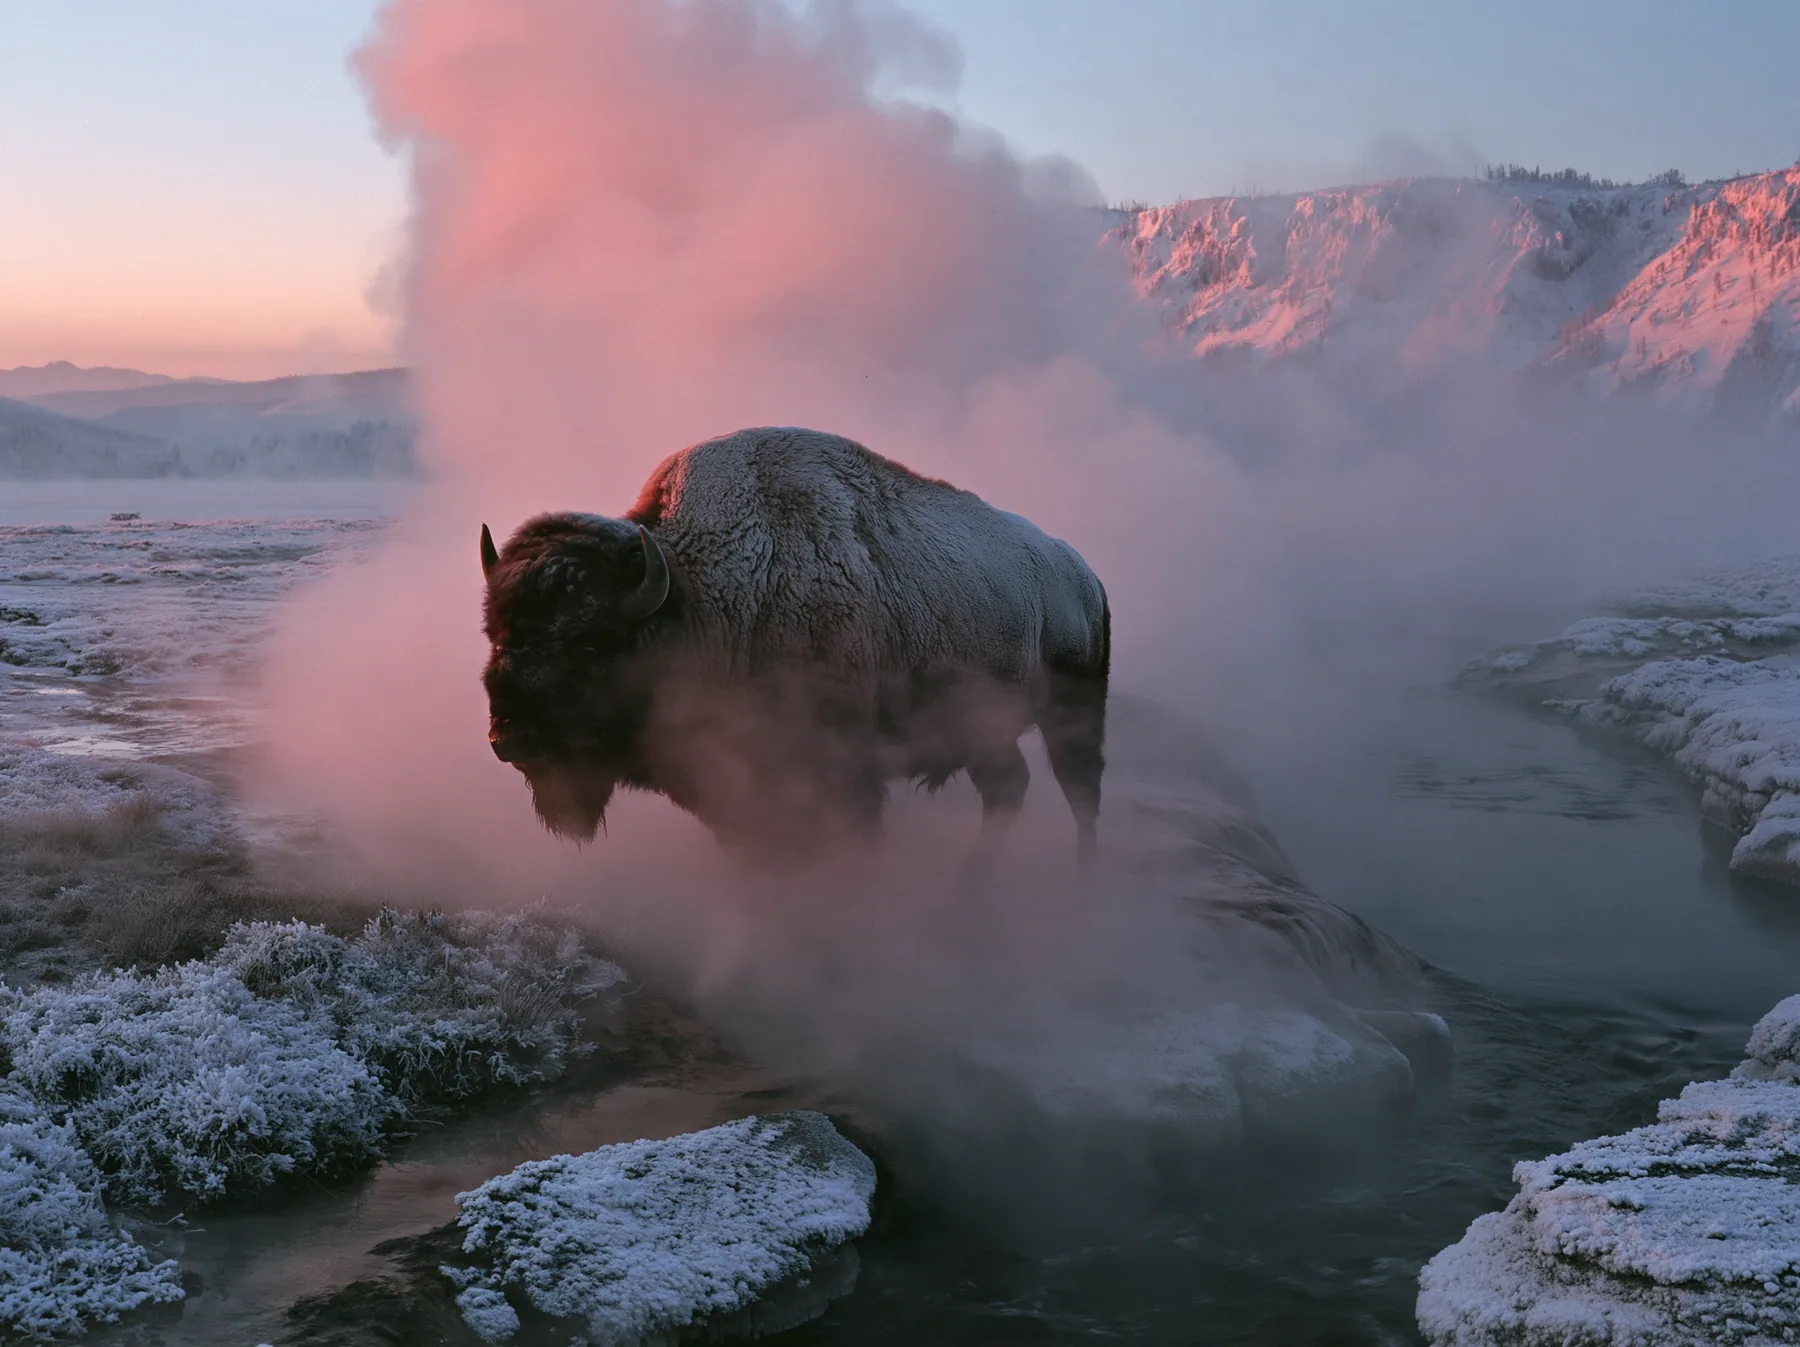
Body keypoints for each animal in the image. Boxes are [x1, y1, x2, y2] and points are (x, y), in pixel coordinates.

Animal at [479, 426, 1109, 869]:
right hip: (986, 727)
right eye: (497, 633)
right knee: (1008, 788)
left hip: (1075, 711)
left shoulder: (839, 779)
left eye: (590, 643)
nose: (508, 738)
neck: (698, 597)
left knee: (1080, 793)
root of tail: (1081, 571)